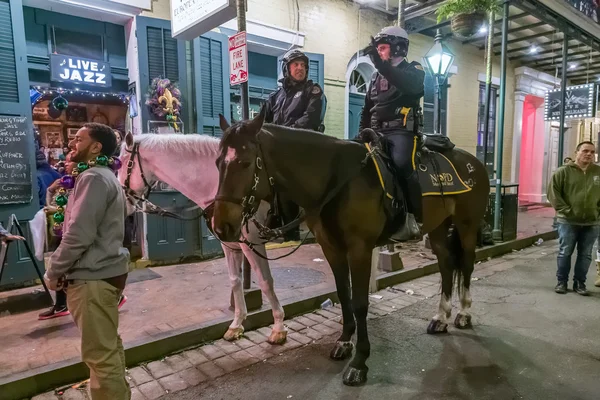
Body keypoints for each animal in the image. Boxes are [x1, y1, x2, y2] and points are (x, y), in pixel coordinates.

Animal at [118, 132, 288, 344]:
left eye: (122, 162)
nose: (122, 203)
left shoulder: (252, 241)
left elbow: (265, 281)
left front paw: (279, 328)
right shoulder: (229, 243)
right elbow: (235, 281)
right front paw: (236, 324)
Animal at [213, 108, 490, 386]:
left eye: (245, 163)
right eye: (217, 163)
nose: (220, 226)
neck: (336, 180)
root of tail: (474, 162)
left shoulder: (360, 249)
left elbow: (359, 302)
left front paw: (360, 362)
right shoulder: (332, 248)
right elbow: (343, 294)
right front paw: (345, 342)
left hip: (467, 225)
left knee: (466, 265)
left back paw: (463, 313)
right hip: (439, 227)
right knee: (446, 265)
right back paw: (440, 318)